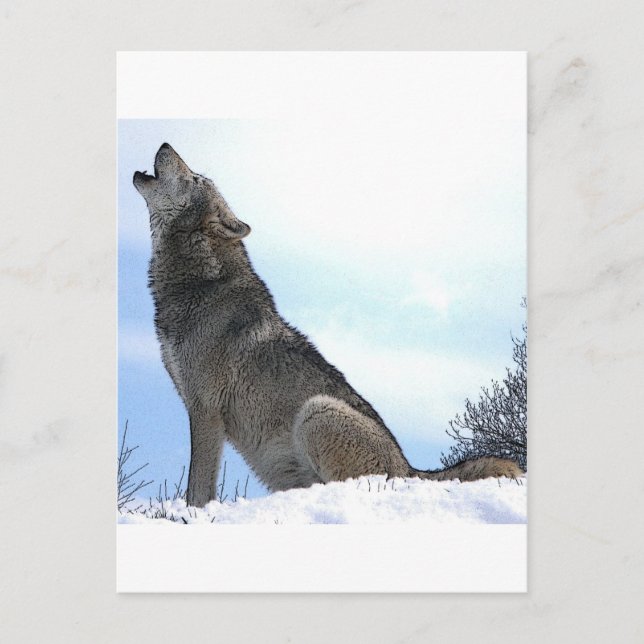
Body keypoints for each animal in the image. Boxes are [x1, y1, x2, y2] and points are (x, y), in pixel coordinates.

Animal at [133, 143, 523, 507]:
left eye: (195, 178)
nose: (165, 144)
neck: (200, 282)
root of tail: (410, 469)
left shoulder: (206, 410)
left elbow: (197, 488)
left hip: (316, 411)